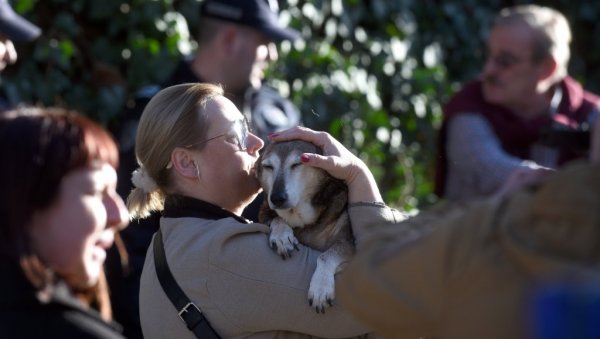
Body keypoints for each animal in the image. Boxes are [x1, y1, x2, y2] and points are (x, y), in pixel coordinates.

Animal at [255, 139, 354, 314]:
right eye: (268, 167)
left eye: (297, 164)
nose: (277, 198)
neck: (302, 220)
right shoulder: (266, 211)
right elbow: (277, 218)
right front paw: (282, 236)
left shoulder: (349, 243)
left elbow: (326, 256)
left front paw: (320, 287)